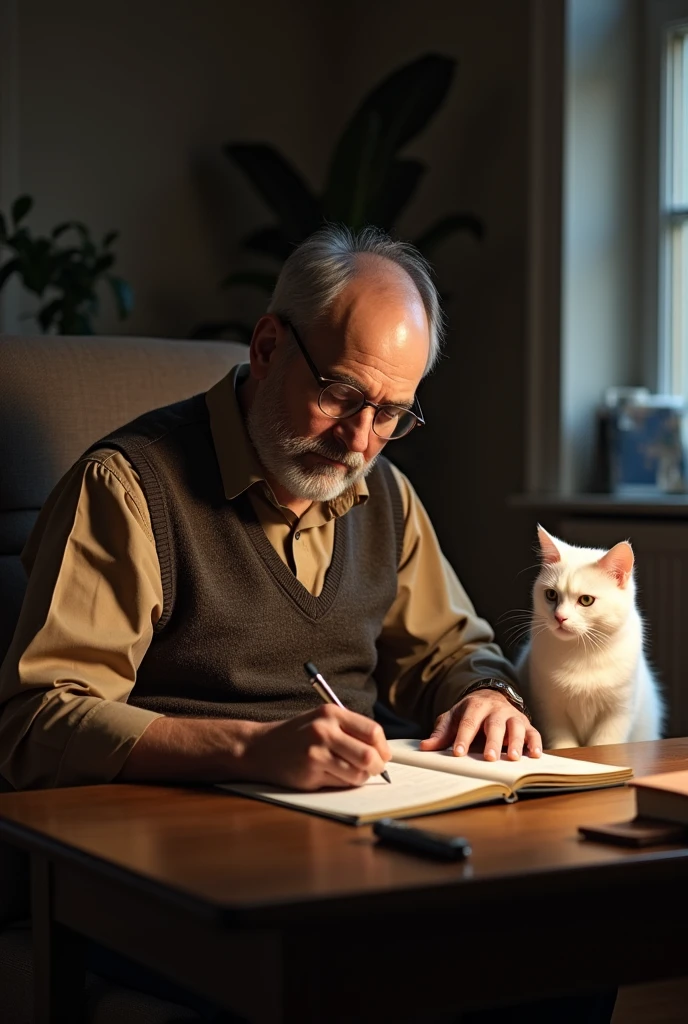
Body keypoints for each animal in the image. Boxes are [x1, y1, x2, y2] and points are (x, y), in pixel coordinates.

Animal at [518, 528, 663, 745]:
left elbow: (605, 745)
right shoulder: (551, 712)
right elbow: (563, 744)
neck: (582, 651)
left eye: (586, 600)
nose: (559, 617)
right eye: (551, 595)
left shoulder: (617, 713)